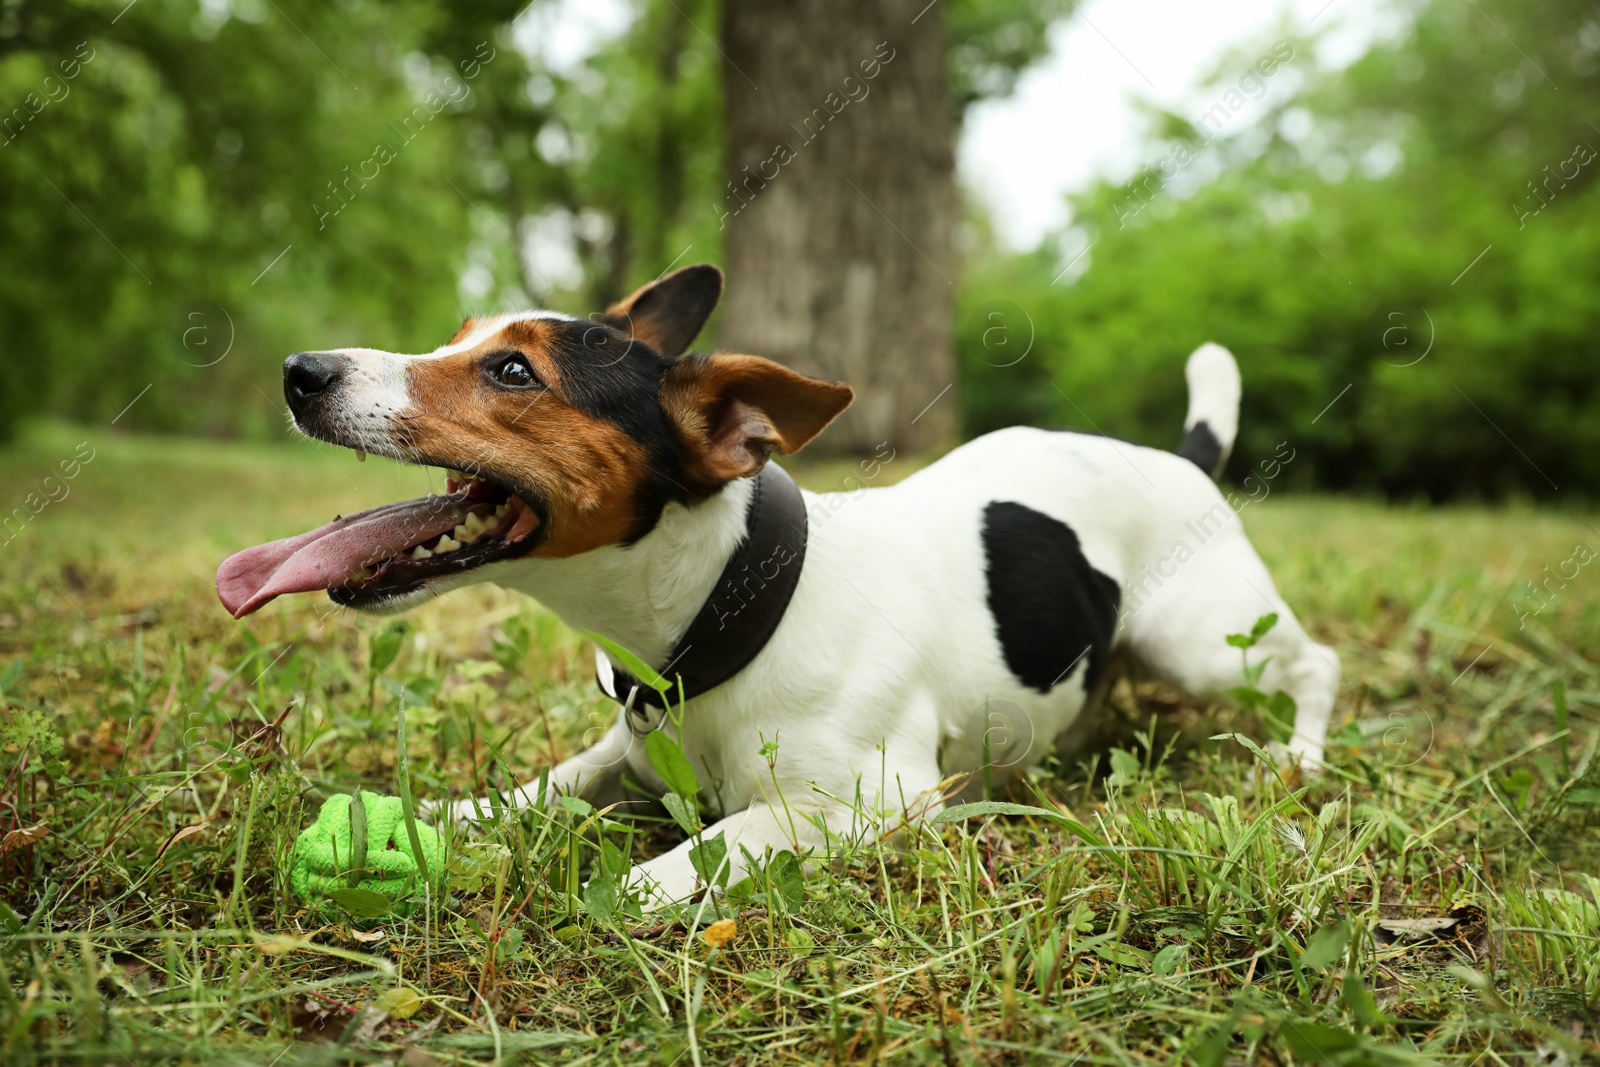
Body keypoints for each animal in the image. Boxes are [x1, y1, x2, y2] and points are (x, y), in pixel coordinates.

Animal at [212, 262, 1337, 908]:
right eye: (459, 336)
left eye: (514, 373)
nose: (300, 371)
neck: (735, 599)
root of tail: (1181, 455)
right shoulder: (621, 753)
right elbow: (540, 789)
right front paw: (442, 820)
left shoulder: (866, 801)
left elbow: (675, 865)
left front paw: (618, 888)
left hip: (1210, 639)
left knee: (1313, 662)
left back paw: (1299, 757)